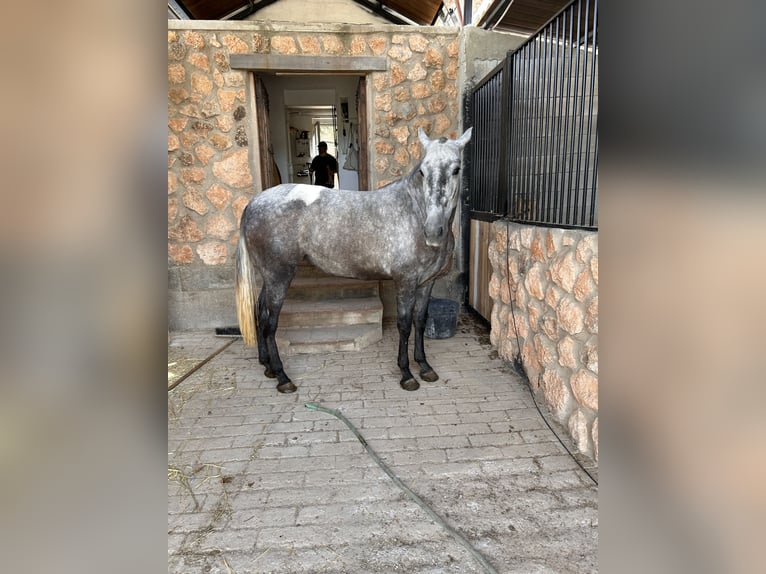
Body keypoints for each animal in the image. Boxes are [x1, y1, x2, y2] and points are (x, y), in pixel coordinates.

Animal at [237, 128, 472, 394]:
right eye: (423, 170)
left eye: (456, 169)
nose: (433, 231)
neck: (414, 211)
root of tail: (253, 203)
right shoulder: (405, 282)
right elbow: (404, 325)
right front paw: (406, 374)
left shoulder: (426, 283)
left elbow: (420, 322)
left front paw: (424, 366)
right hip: (279, 278)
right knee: (270, 323)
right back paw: (282, 377)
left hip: (269, 277)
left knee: (259, 312)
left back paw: (266, 366)